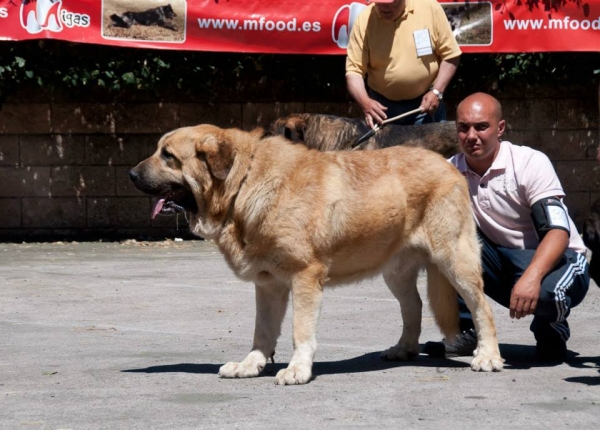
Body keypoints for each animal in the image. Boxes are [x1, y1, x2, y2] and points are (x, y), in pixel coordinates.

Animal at [129, 122, 504, 384]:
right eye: (159, 150)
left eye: (168, 156)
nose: (130, 173)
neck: (244, 184)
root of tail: (450, 164)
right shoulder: (268, 285)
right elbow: (262, 331)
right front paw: (251, 365)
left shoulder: (304, 277)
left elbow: (300, 330)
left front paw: (297, 370)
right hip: (395, 271)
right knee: (413, 306)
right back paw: (404, 349)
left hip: (454, 259)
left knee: (481, 308)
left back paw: (487, 357)